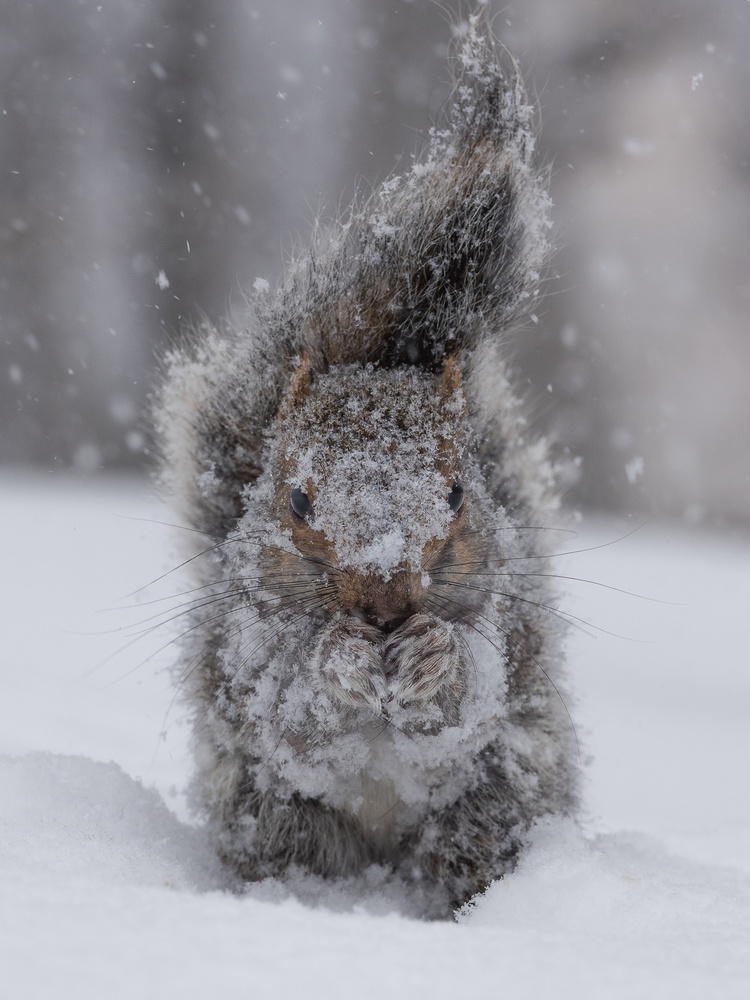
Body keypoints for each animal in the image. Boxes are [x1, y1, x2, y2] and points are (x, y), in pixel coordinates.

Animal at [154, 15, 579, 917]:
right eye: (297, 499)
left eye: (457, 494)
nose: (385, 604)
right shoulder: (245, 649)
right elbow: (293, 711)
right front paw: (339, 662)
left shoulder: (508, 629)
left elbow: (473, 696)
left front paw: (433, 660)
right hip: (269, 813)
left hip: (503, 795)